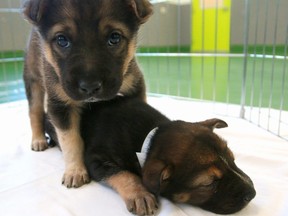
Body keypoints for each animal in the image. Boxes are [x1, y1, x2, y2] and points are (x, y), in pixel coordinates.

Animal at [22, 0, 153, 188]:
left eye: (114, 38)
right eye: (62, 40)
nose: (90, 87)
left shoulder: (134, 84)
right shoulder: (60, 103)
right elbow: (70, 140)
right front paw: (75, 171)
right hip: (33, 80)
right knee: (35, 112)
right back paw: (38, 139)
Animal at [46, 96, 255, 216]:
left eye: (233, 160)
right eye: (209, 183)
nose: (252, 194)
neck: (149, 139)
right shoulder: (96, 159)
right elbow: (124, 174)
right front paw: (141, 195)